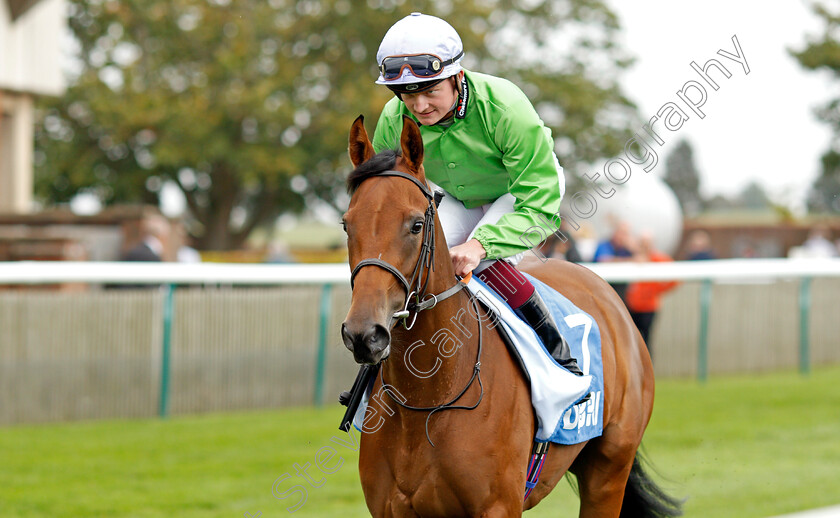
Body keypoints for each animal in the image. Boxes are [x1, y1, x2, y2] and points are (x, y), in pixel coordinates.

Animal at [342, 117, 684, 518]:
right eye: (347, 224)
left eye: (415, 225)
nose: (364, 334)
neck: (426, 399)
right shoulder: (389, 508)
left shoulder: (499, 505)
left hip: (609, 471)